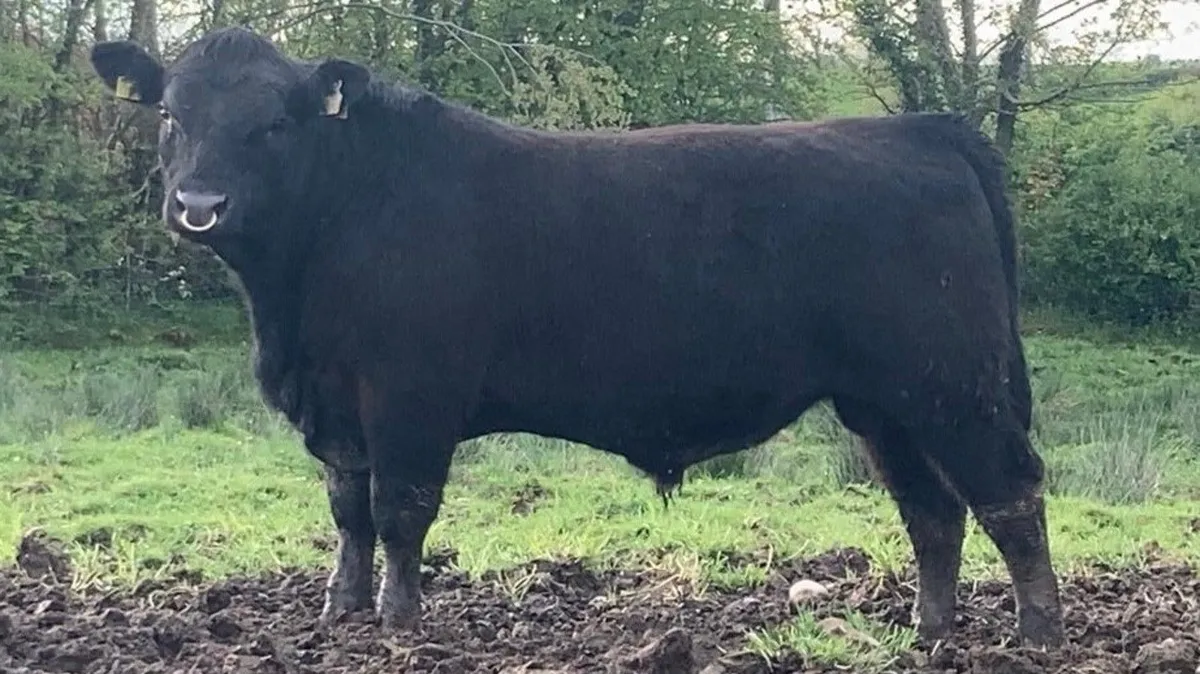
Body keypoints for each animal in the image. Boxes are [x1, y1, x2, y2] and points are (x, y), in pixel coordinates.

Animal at [89, 26, 1064, 647]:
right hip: (885, 403)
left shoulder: (410, 397)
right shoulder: (337, 408)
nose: (199, 205)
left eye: (275, 123)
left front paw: (400, 625)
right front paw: (342, 612)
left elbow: (401, 510)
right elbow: (348, 512)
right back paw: (929, 632)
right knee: (933, 511)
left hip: (953, 385)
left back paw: (1039, 632)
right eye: (171, 115)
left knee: (1010, 492)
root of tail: (921, 130)